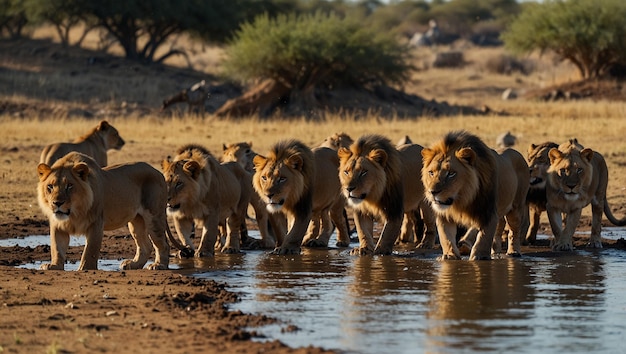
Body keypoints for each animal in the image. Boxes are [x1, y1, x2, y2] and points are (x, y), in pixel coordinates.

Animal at [37, 151, 185, 270]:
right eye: (50, 186)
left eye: (69, 186)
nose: (57, 203)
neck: (74, 213)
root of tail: (158, 172)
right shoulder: (57, 225)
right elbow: (56, 247)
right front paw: (54, 266)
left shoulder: (96, 222)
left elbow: (90, 250)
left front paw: (85, 269)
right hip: (136, 221)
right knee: (146, 246)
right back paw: (133, 264)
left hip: (154, 217)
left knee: (163, 244)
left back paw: (158, 265)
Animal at [420, 131, 528, 260]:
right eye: (431, 173)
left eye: (451, 174)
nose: (432, 192)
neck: (463, 199)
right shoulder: (444, 215)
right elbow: (446, 237)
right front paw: (450, 256)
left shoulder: (488, 212)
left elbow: (484, 238)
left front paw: (479, 257)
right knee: (498, 228)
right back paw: (492, 251)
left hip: (516, 207)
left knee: (514, 230)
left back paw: (513, 252)